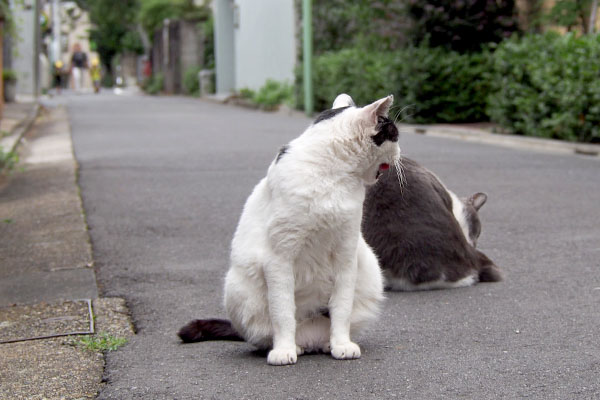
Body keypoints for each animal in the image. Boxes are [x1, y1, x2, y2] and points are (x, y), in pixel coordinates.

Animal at [179, 94, 404, 366]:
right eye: (395, 134)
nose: (401, 153)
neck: (330, 175)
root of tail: (311, 340)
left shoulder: (346, 256)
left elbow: (341, 308)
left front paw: (342, 344)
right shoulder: (279, 258)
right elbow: (283, 311)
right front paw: (283, 350)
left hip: (370, 273)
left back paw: (328, 343)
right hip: (237, 288)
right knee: (269, 332)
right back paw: (293, 346)